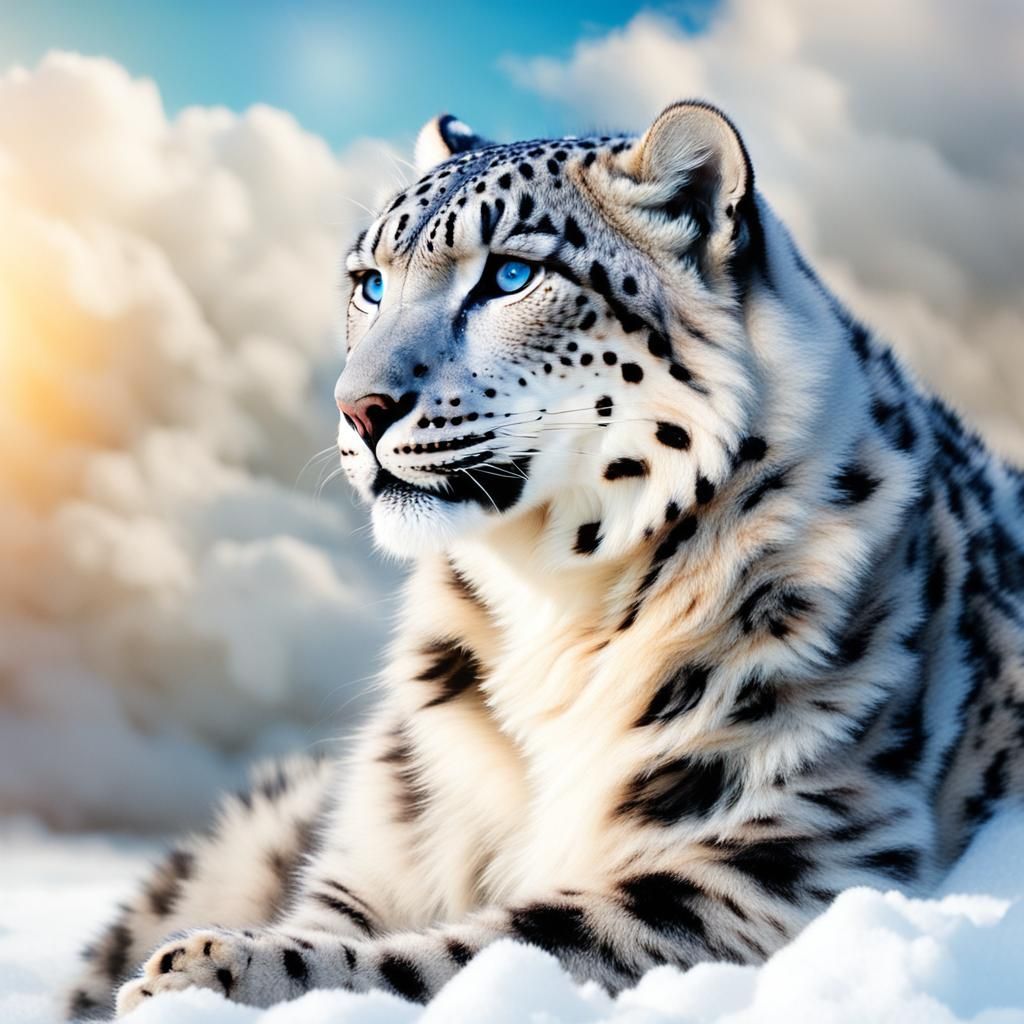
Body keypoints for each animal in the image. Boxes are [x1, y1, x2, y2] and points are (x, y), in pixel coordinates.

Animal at [66, 101, 1024, 1019]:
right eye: (370, 283)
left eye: (510, 276)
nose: (358, 407)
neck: (553, 612)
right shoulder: (385, 847)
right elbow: (336, 917)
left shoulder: (782, 859)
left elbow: (499, 945)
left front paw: (209, 974)